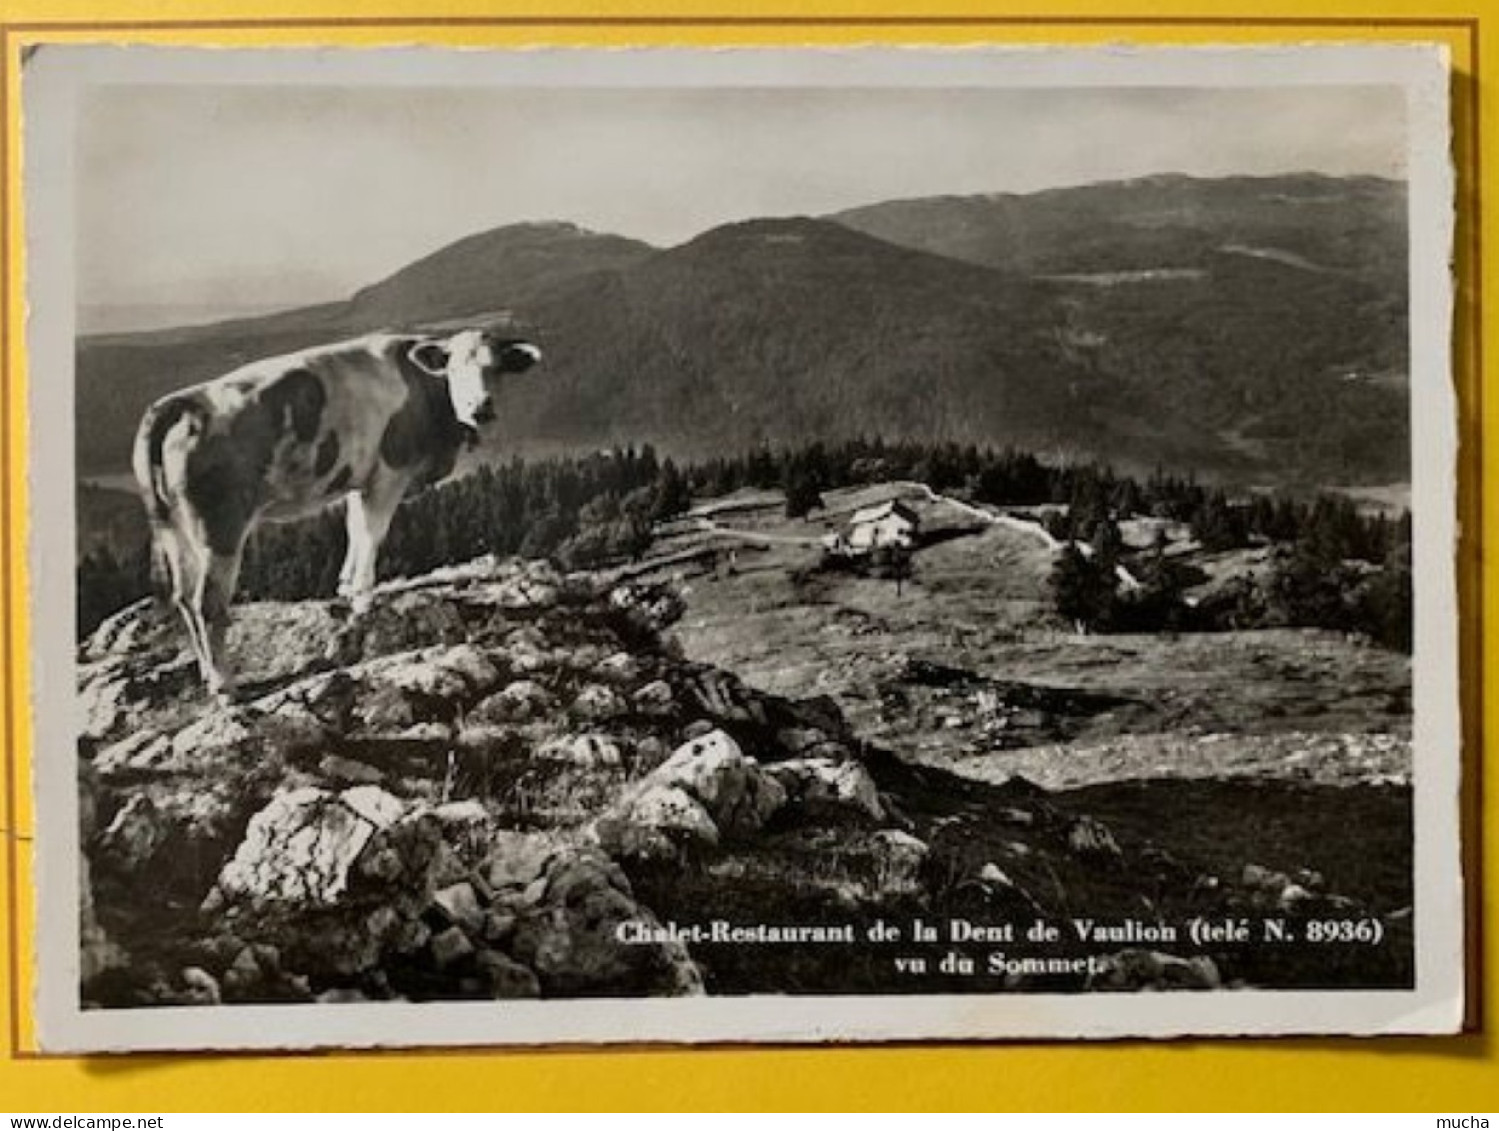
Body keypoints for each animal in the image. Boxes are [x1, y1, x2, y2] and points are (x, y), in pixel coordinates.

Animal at [133, 325, 545, 698]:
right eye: (454, 368)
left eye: (496, 369)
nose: (481, 408)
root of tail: (180, 402)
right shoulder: (390, 471)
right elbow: (373, 532)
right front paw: (363, 598)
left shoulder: (359, 479)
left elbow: (354, 527)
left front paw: (345, 586)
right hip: (220, 524)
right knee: (207, 602)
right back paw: (224, 685)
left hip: (173, 527)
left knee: (183, 597)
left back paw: (205, 672)